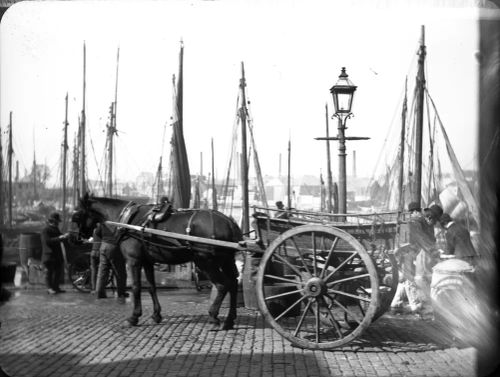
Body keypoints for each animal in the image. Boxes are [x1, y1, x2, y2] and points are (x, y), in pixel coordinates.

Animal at [71, 194, 244, 328]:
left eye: (76, 215)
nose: (76, 238)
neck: (126, 220)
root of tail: (229, 222)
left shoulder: (133, 260)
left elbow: (136, 287)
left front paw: (133, 317)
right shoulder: (148, 262)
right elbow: (151, 287)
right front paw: (156, 315)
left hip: (206, 262)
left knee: (222, 285)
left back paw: (214, 316)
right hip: (226, 260)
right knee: (233, 283)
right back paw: (229, 320)